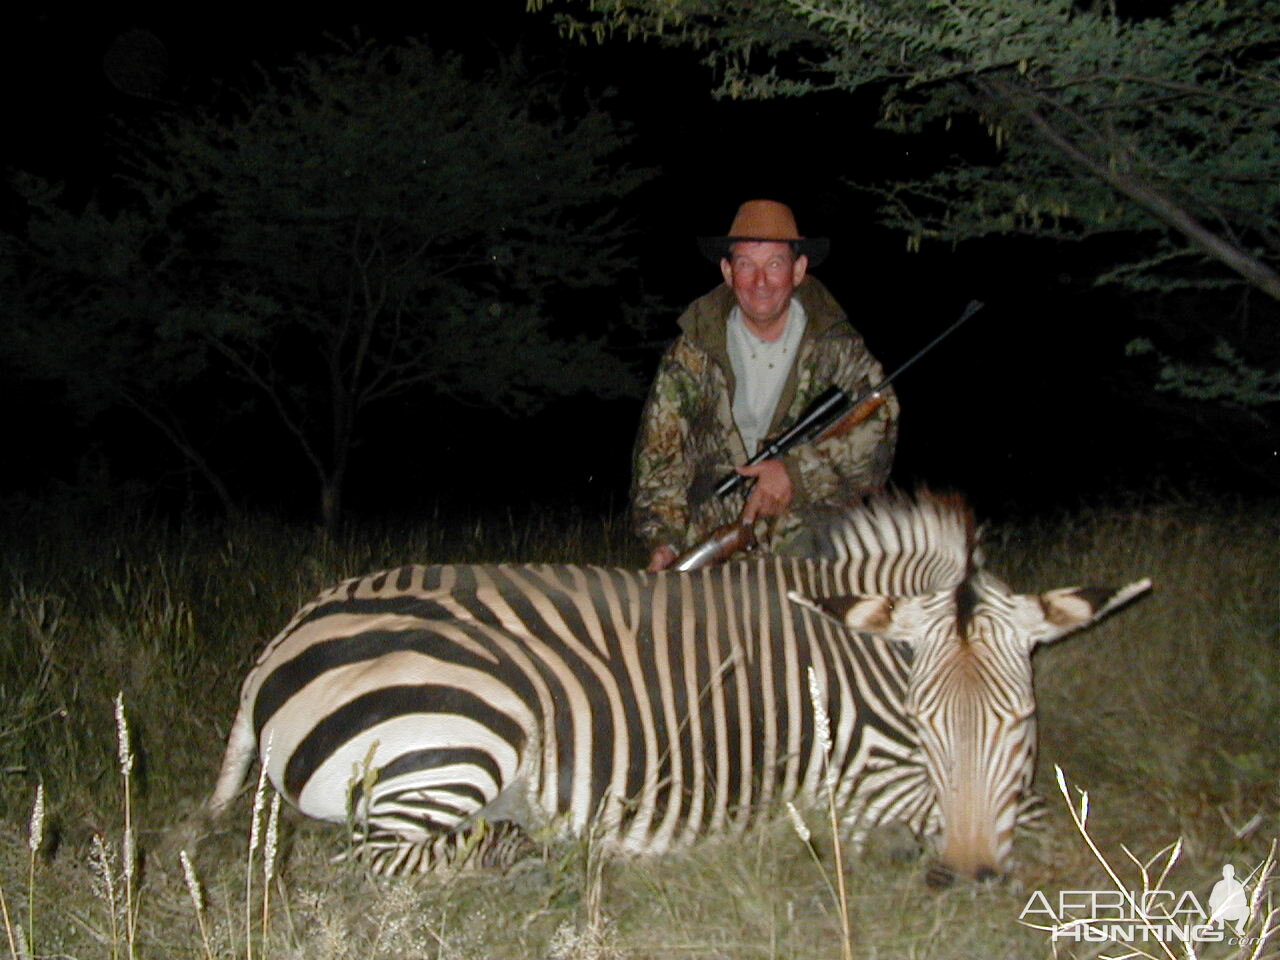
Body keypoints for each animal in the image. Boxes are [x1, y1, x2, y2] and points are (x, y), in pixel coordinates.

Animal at [209, 491, 1152, 885]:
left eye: (1022, 720)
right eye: (922, 724)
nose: (966, 876)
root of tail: (285, 634)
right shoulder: (865, 784)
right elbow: (1049, 818)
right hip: (472, 725)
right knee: (371, 861)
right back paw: (536, 853)